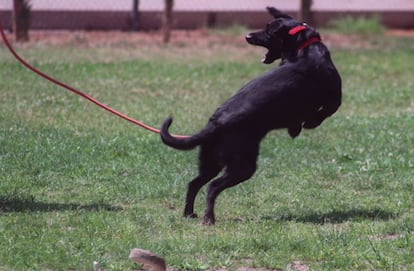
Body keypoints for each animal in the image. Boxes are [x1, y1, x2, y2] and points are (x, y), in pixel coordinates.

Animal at [160, 7, 342, 226]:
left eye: (268, 31)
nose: (247, 36)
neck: (306, 48)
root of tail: (215, 123)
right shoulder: (334, 98)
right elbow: (324, 112)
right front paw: (309, 124)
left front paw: (296, 128)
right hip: (243, 166)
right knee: (212, 187)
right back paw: (209, 218)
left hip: (211, 162)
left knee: (194, 183)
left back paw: (189, 213)